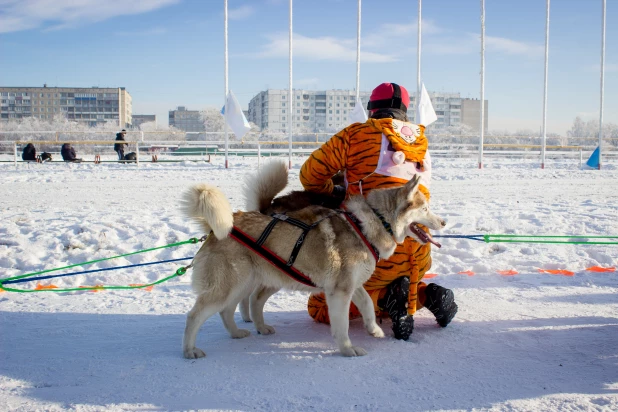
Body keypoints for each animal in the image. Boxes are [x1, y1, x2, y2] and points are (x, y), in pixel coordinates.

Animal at [180, 161, 446, 358]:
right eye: (425, 208)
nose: (444, 222)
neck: (370, 224)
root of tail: (219, 229)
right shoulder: (339, 292)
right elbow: (343, 325)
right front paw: (348, 349)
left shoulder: (352, 285)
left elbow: (368, 305)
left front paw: (374, 330)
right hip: (230, 286)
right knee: (195, 315)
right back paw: (190, 350)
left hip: (252, 282)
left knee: (233, 308)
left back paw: (240, 332)